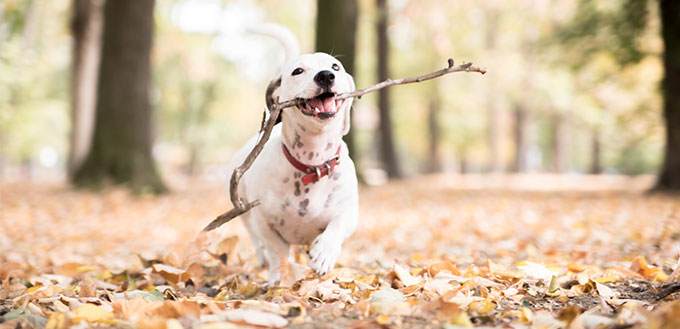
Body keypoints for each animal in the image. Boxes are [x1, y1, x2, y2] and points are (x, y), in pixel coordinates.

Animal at [226, 24, 358, 284]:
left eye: (335, 66)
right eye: (298, 71)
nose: (326, 75)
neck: (312, 162)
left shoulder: (349, 211)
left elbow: (338, 225)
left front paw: (324, 253)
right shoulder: (263, 221)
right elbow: (277, 250)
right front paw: (279, 276)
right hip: (243, 210)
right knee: (254, 237)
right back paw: (262, 257)